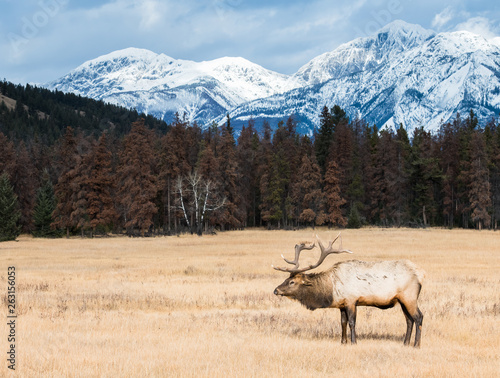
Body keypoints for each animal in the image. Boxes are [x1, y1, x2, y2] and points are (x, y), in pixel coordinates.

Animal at [274, 235, 426, 346]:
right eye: (286, 279)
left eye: (292, 282)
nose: (276, 290)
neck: (331, 290)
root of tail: (420, 275)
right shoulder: (342, 304)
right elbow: (343, 322)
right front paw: (343, 341)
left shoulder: (352, 300)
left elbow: (352, 322)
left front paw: (353, 342)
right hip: (401, 300)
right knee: (409, 320)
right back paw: (405, 343)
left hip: (410, 297)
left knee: (418, 317)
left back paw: (416, 344)